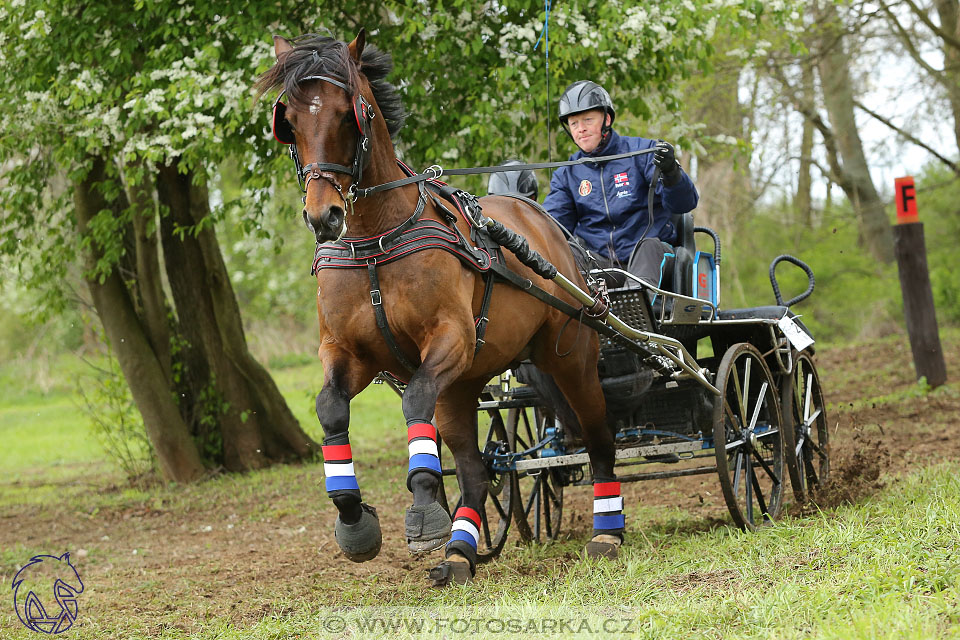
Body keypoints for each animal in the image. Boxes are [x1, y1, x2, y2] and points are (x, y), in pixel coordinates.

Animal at [256, 30, 624, 584]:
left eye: (349, 114)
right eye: (290, 122)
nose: (325, 216)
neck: (375, 240)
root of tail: (547, 226)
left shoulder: (450, 340)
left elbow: (413, 403)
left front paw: (425, 509)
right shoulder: (348, 353)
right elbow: (330, 408)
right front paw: (353, 518)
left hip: (570, 357)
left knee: (600, 436)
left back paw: (607, 531)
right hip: (465, 385)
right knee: (475, 471)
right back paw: (460, 552)